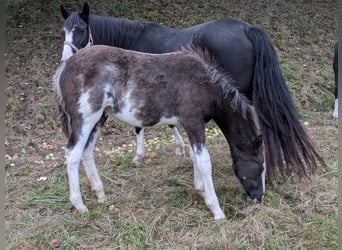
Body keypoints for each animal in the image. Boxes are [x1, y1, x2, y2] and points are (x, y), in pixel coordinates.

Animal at [53, 45, 266, 221]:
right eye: (260, 167)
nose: (258, 198)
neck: (205, 83)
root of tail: (65, 66)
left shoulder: (190, 126)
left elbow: (194, 156)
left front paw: (200, 189)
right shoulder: (194, 123)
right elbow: (204, 161)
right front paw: (216, 209)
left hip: (99, 119)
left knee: (87, 151)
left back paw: (100, 193)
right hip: (85, 118)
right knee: (73, 153)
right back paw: (80, 205)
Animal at [59, 1, 326, 178]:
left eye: (81, 29)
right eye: (63, 30)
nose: (66, 60)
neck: (134, 39)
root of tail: (248, 29)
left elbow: (139, 127)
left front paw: (139, 156)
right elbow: (170, 123)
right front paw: (181, 149)